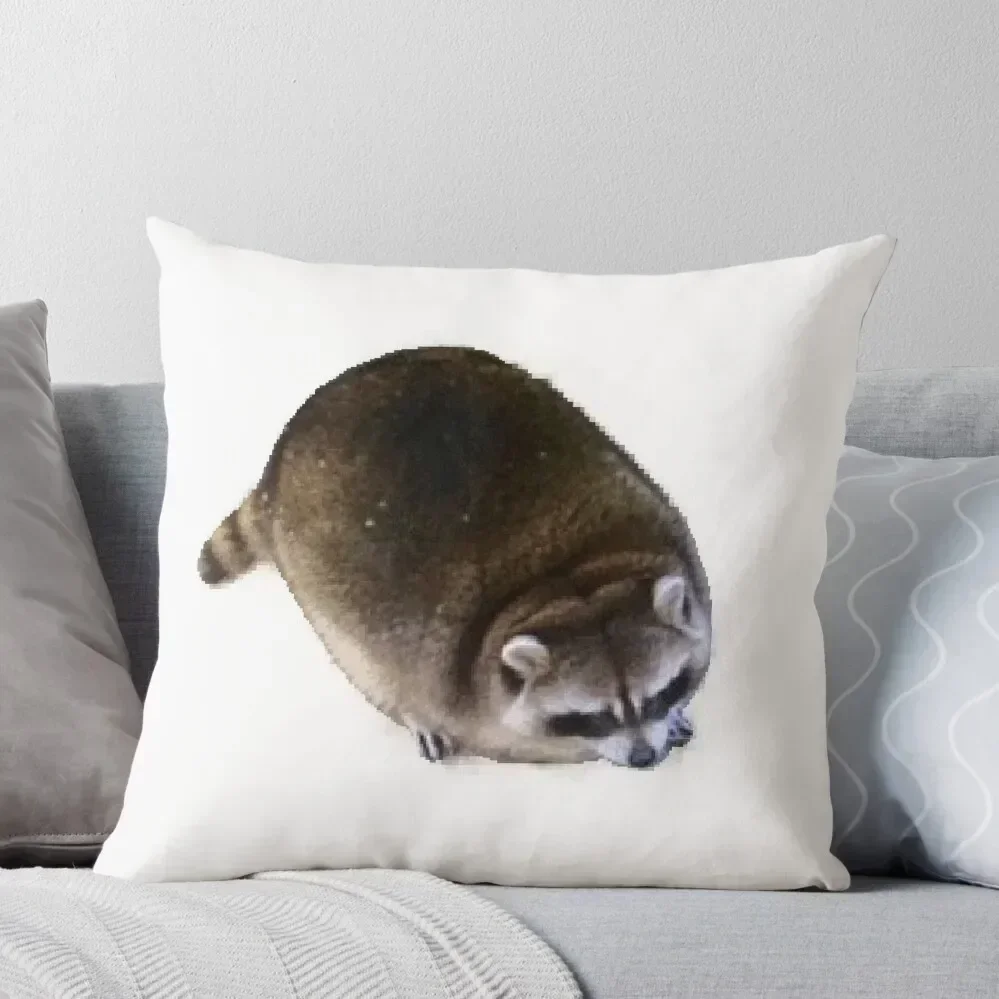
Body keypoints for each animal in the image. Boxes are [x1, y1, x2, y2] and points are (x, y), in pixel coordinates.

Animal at [199, 346, 711, 768]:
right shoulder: (447, 679)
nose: (645, 758)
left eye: (660, 693)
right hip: (321, 591)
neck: (567, 580)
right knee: (365, 663)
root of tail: (279, 462)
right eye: (593, 717)